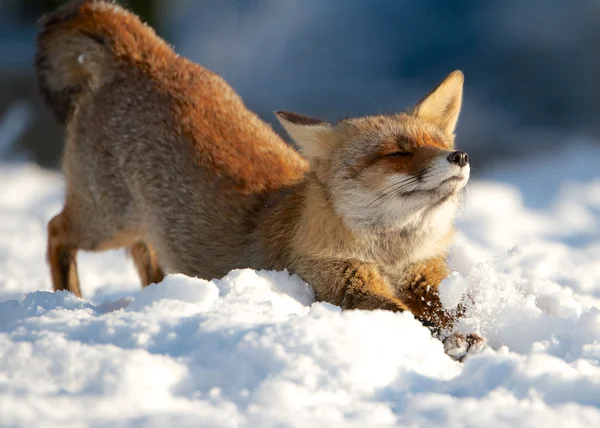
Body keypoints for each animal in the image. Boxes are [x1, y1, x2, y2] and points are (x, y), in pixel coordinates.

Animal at [37, 0, 482, 358]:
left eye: (438, 143)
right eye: (397, 153)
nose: (459, 156)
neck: (389, 257)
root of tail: (150, 54)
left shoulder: (426, 273)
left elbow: (451, 310)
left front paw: (463, 335)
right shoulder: (338, 281)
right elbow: (402, 315)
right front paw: (443, 343)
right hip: (106, 224)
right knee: (55, 230)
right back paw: (66, 299)